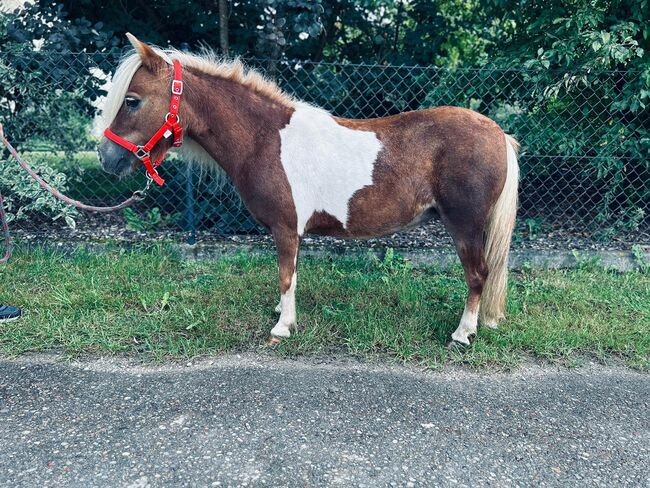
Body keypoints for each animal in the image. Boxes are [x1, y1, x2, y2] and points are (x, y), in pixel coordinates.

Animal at [96, 34, 520, 346]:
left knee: (478, 275)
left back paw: (462, 334)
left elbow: (286, 275)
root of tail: (499, 134)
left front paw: (282, 327)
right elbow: (292, 276)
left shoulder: (285, 228)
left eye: (131, 101)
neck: (264, 138)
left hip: (465, 226)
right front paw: (282, 315)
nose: (106, 157)